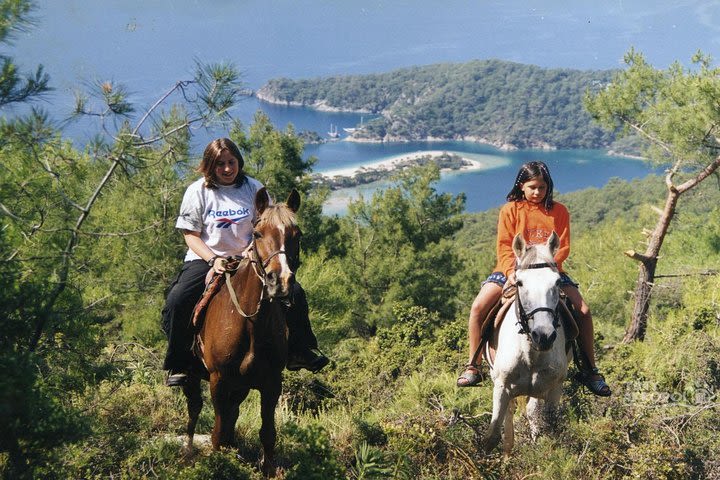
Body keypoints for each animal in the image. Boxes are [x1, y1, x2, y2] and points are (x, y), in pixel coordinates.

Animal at [184, 188, 302, 476]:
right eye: (257, 234)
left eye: (297, 234)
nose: (280, 282)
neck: (251, 322)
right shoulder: (218, 380)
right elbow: (216, 433)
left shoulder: (271, 382)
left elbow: (267, 434)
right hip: (194, 378)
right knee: (195, 410)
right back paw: (188, 451)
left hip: (241, 386)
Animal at [486, 231, 572, 456]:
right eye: (520, 283)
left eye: (557, 282)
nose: (544, 335)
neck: (530, 352)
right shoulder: (501, 386)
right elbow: (493, 434)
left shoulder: (553, 389)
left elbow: (550, 430)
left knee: (532, 412)